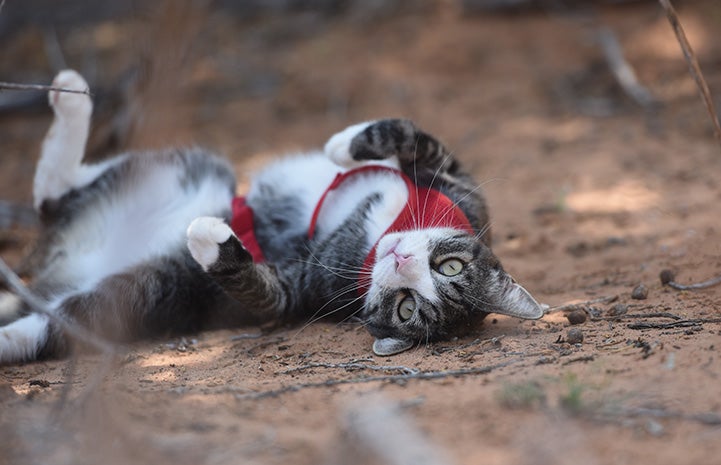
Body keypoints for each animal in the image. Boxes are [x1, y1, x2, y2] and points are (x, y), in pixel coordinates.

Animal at [0, 70, 540, 364]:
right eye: (450, 266)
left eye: (407, 309)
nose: (403, 260)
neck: (381, 234)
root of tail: (60, 260)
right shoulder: (458, 184)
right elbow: (408, 133)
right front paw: (342, 145)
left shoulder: (304, 288)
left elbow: (266, 292)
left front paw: (214, 241)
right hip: (188, 171)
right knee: (57, 192)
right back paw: (69, 96)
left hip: (145, 290)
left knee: (52, 320)